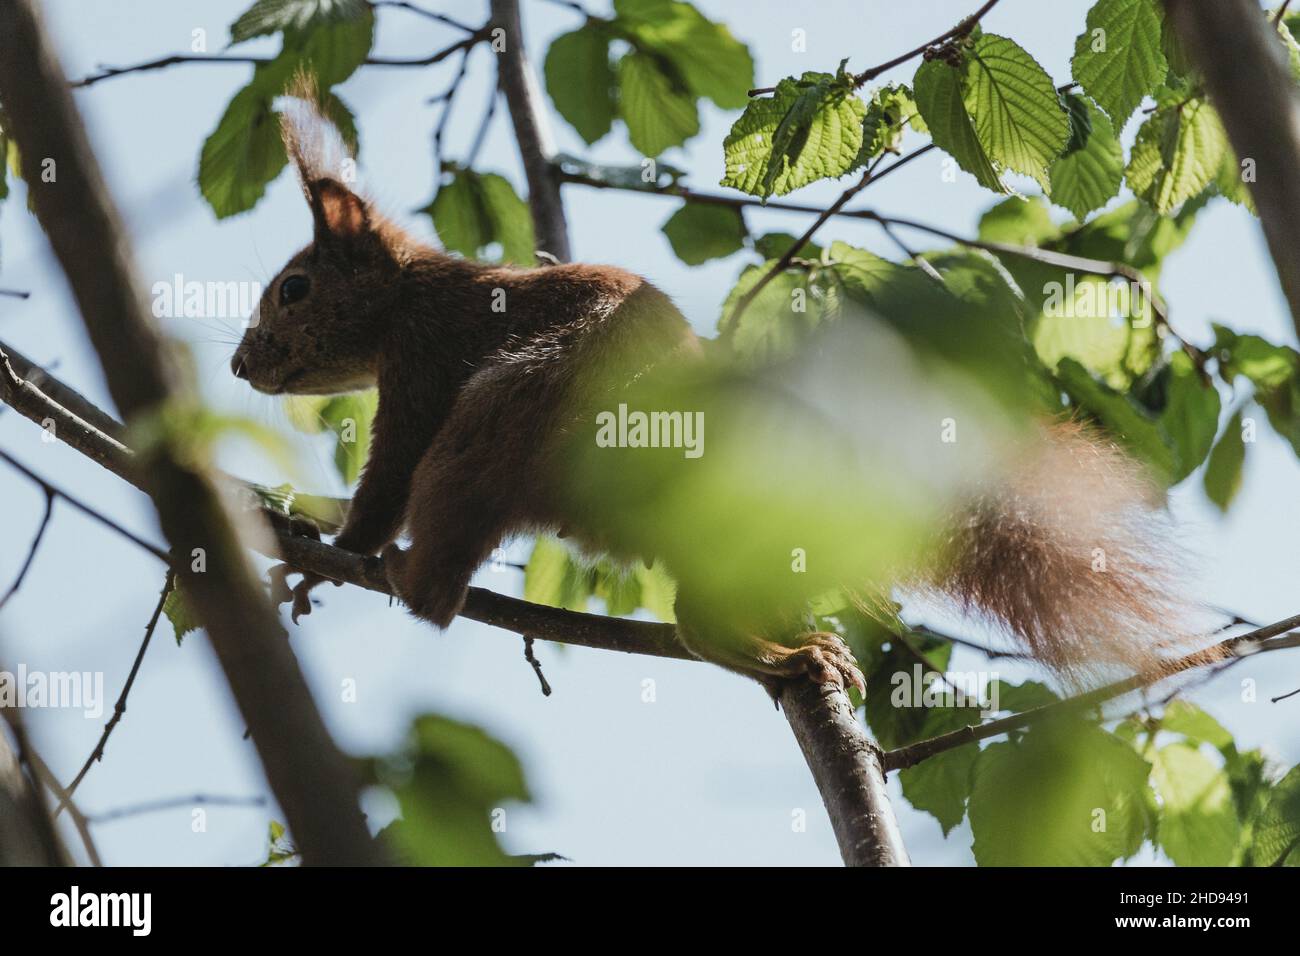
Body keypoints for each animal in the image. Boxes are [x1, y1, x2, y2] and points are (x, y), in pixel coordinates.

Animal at [231, 85, 1190, 691]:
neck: (412, 293)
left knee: (445, 569)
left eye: (294, 289)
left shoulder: (424, 365)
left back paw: (408, 575)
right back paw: (793, 654)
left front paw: (338, 545)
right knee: (697, 615)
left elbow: (387, 477)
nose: (241, 365)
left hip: (508, 410)